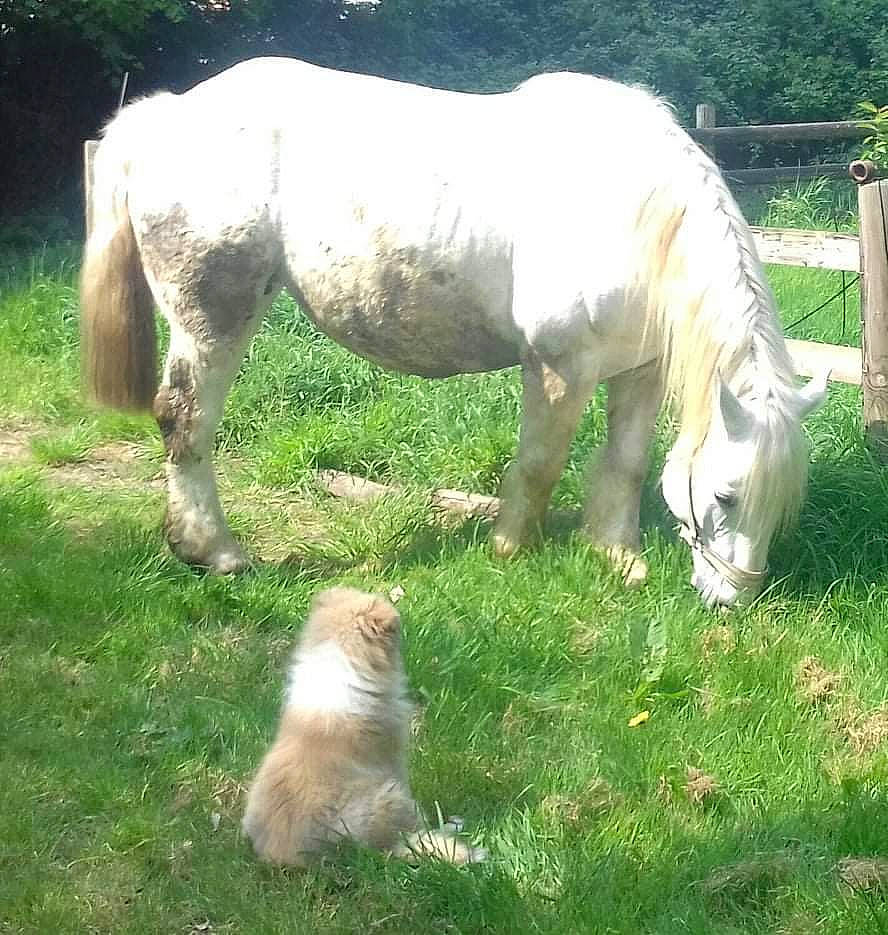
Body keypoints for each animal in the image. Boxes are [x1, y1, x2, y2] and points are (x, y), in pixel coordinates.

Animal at [80, 57, 827, 608]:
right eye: (726, 496)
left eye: (783, 505)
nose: (732, 600)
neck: (635, 214)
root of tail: (165, 117)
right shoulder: (559, 366)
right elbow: (540, 462)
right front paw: (512, 547)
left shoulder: (638, 372)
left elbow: (627, 463)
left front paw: (617, 555)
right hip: (215, 314)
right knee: (186, 422)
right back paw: (215, 552)